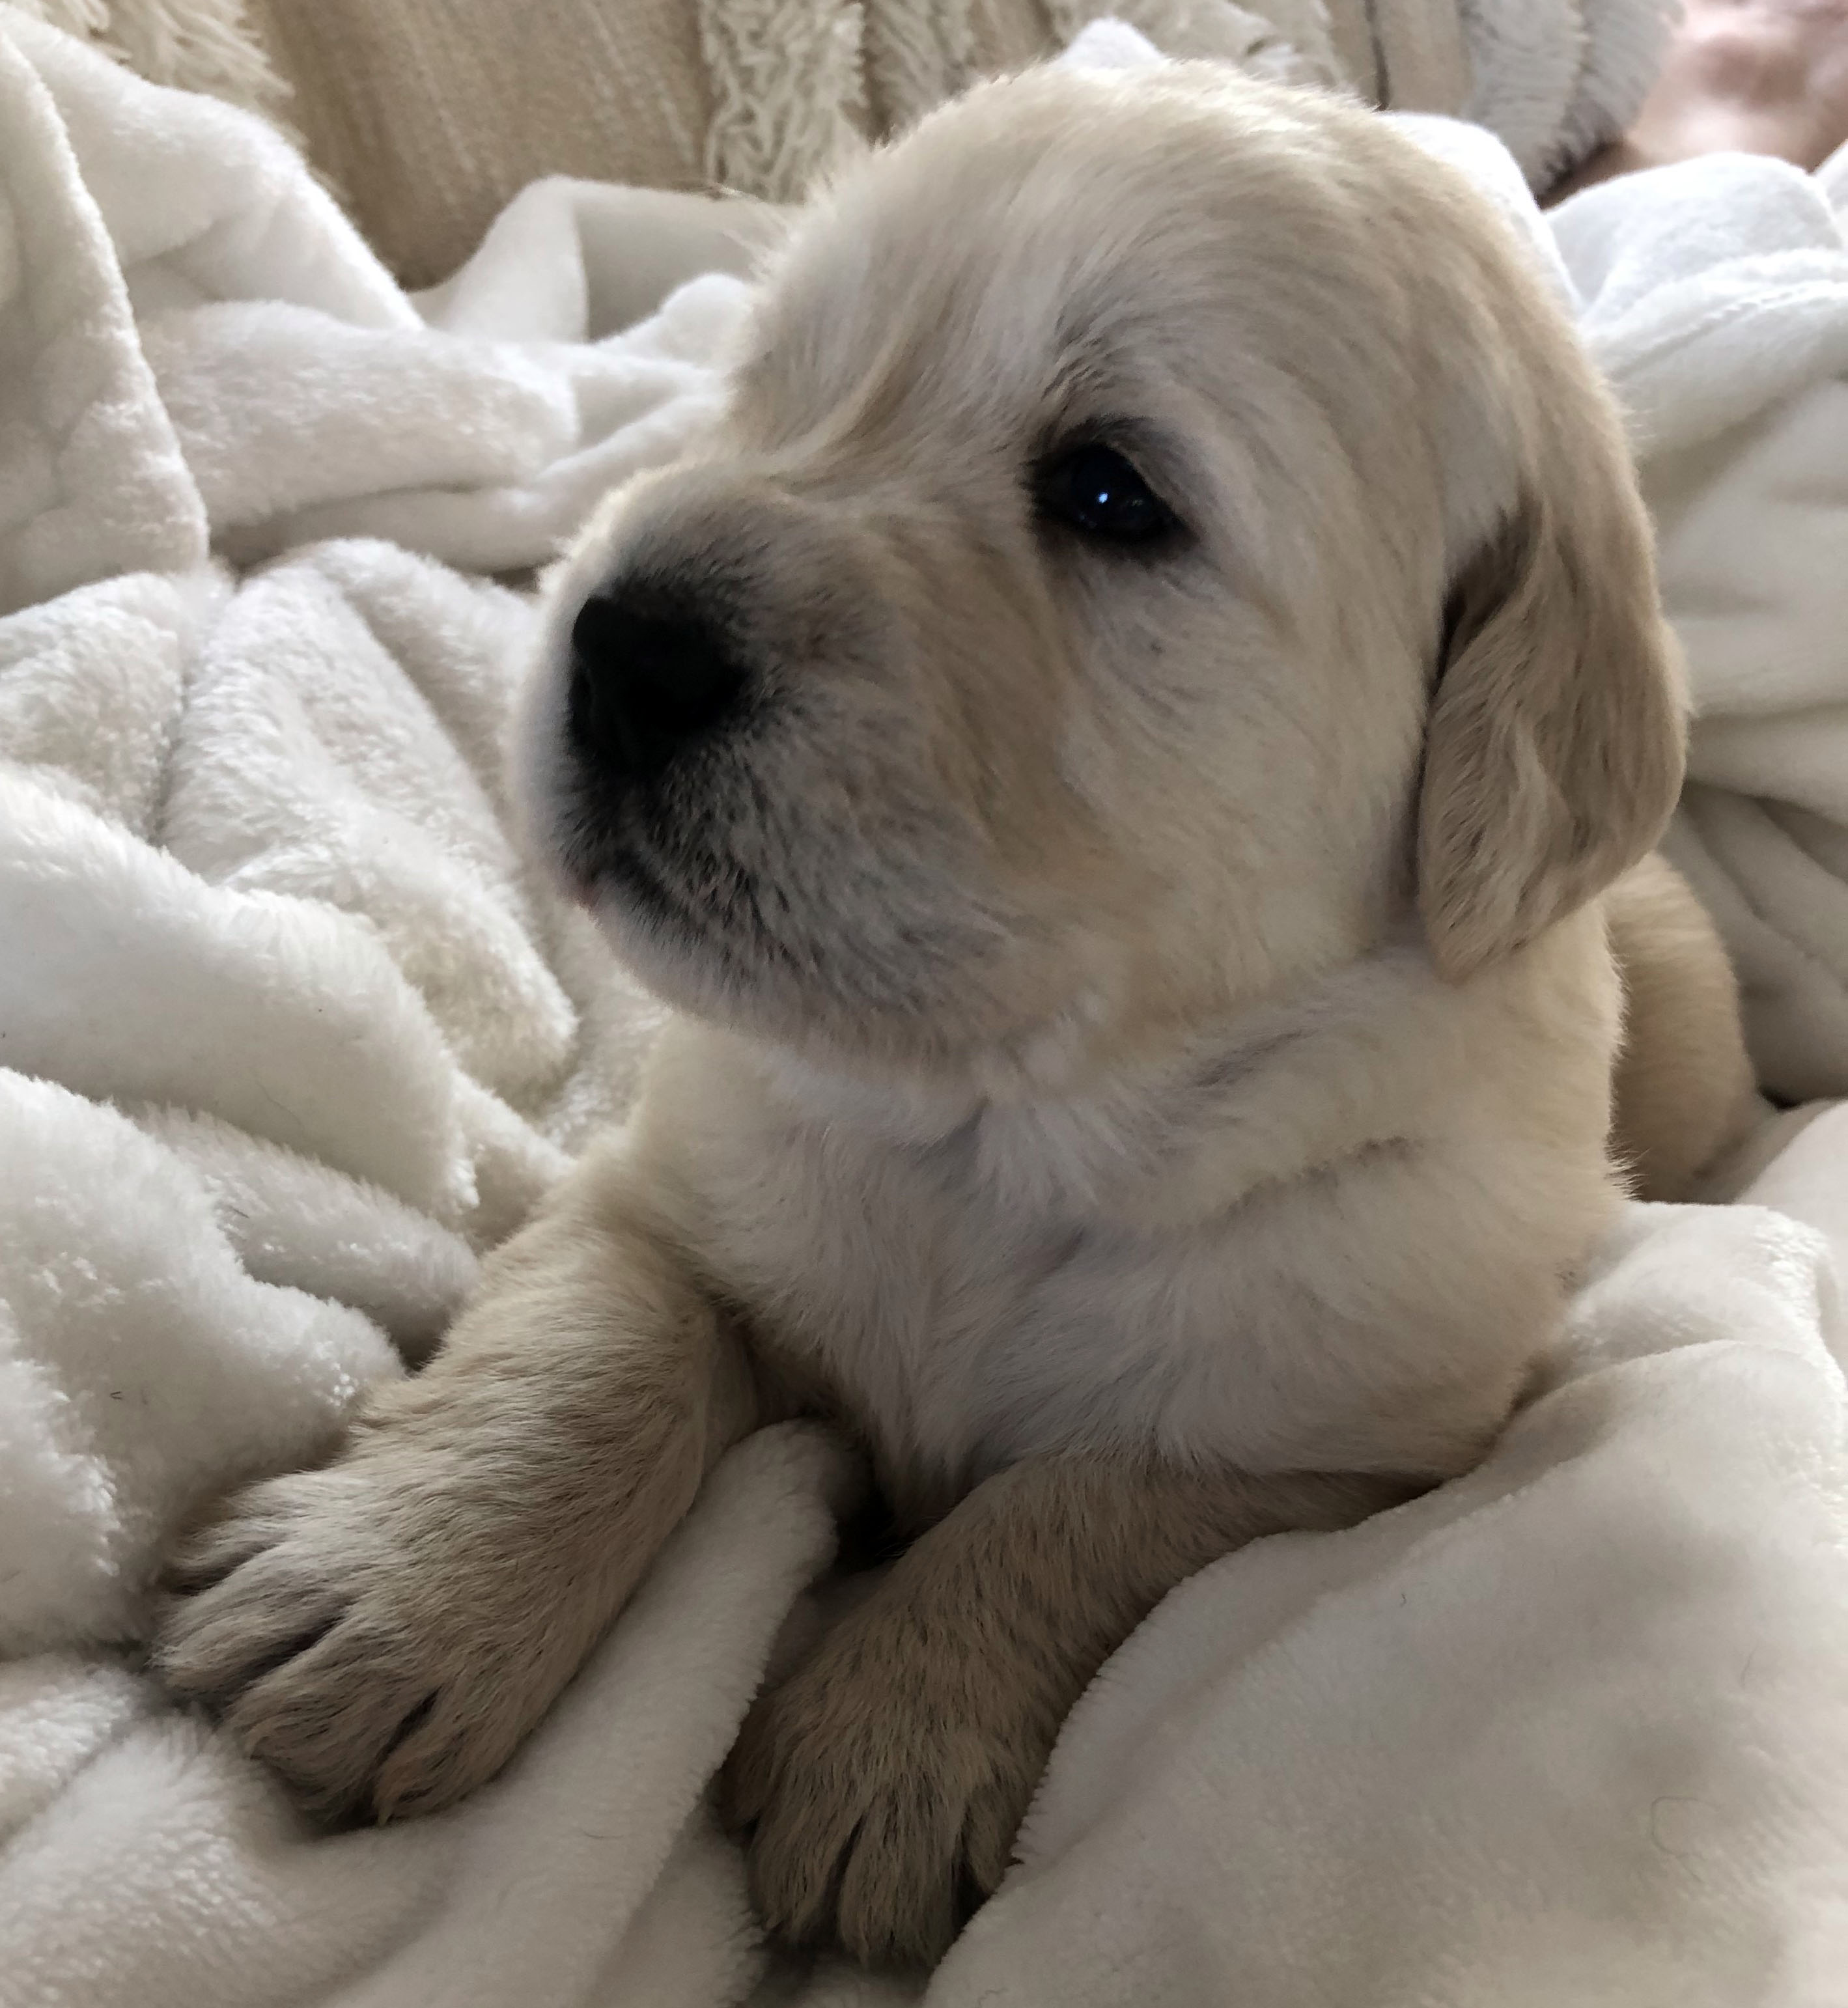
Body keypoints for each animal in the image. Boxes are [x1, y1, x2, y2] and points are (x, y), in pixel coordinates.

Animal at [162, 59, 1759, 1959]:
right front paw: (388, 1591)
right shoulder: (658, 1193)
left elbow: (1086, 1495)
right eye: (766, 389)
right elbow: (586, 1356)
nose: (620, 642)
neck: (999, 1131)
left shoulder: (1363, 1423)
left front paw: (888, 1744)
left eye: (1107, 493)